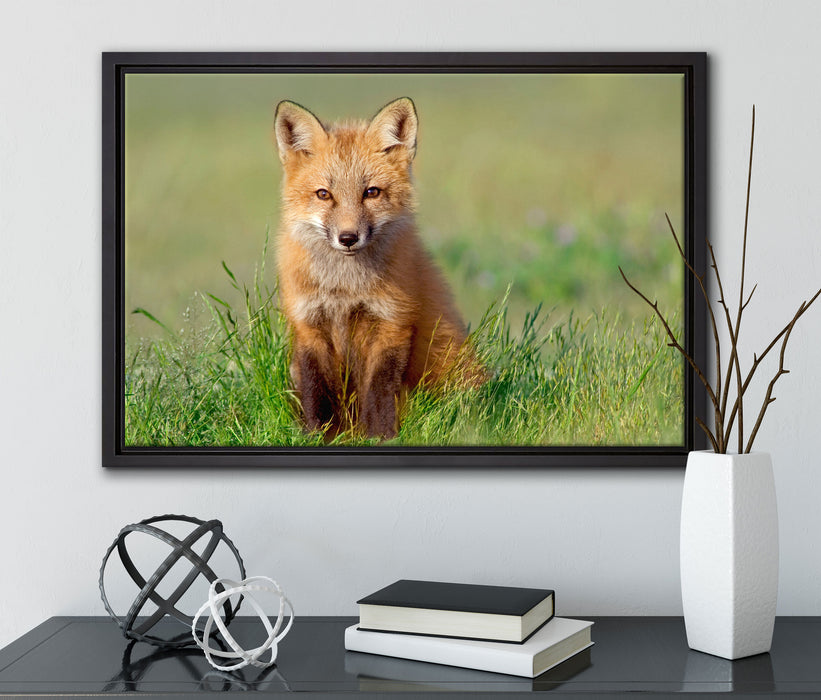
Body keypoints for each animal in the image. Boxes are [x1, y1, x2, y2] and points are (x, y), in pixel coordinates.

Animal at [273, 96, 474, 439]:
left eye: (371, 192)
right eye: (324, 194)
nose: (348, 238)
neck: (344, 289)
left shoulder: (392, 322)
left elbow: (379, 390)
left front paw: (381, 436)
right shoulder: (308, 324)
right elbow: (316, 390)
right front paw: (319, 436)